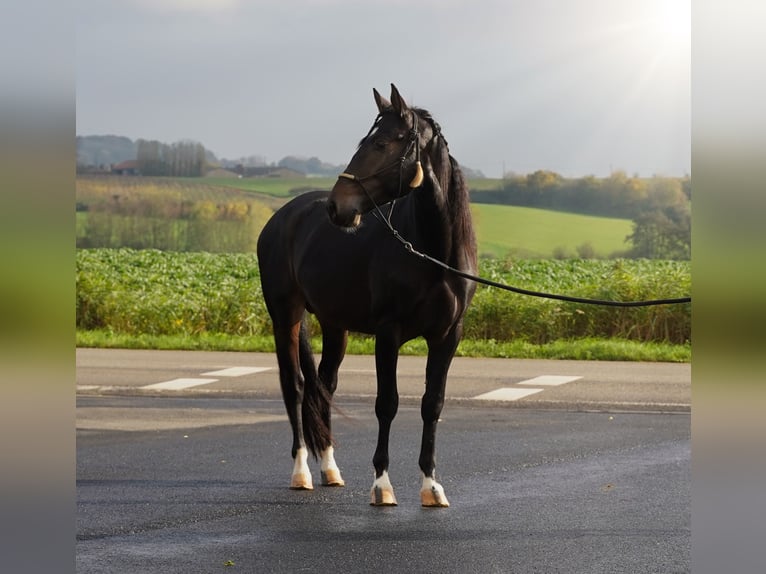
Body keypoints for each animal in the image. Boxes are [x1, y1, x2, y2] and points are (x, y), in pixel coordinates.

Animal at [255, 85, 476, 508]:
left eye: (381, 143)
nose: (336, 206)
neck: (434, 252)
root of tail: (282, 217)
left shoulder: (447, 337)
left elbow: (432, 404)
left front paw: (431, 486)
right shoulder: (388, 334)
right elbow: (386, 404)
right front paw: (382, 485)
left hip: (334, 325)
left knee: (324, 387)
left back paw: (330, 469)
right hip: (285, 316)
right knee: (295, 386)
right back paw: (301, 472)